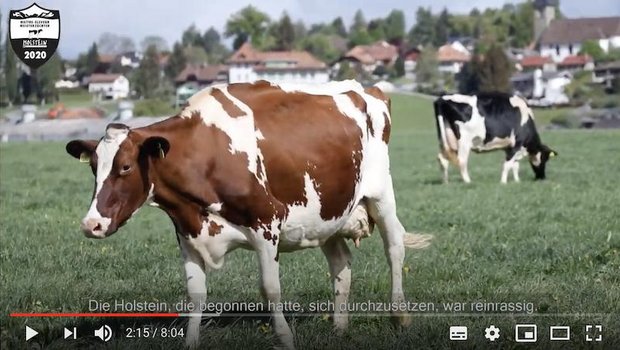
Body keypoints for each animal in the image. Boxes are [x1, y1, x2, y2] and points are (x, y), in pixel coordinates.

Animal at [65, 80, 428, 348]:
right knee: (341, 264)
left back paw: (400, 317)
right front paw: (190, 343)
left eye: (126, 167)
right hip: (327, 213)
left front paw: (285, 339)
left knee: (394, 248)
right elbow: (195, 293)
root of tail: (366, 88)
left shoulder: (268, 223)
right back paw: (339, 329)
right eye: (94, 167)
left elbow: (269, 288)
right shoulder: (188, 232)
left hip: (381, 194)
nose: (90, 224)